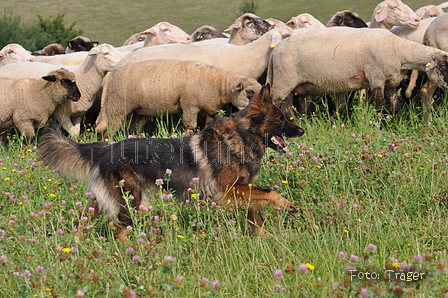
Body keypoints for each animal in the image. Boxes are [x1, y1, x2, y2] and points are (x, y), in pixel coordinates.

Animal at [37, 85, 304, 239]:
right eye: (281, 119)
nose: (302, 130)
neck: (241, 136)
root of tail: (107, 149)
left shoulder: (241, 189)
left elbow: (256, 213)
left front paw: (266, 238)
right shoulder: (227, 191)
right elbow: (270, 193)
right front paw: (289, 206)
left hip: (107, 201)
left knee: (84, 222)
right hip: (130, 200)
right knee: (119, 228)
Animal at [95, 59, 262, 136]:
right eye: (250, 92)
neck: (217, 84)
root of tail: (112, 75)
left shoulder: (209, 107)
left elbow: (217, 118)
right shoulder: (189, 105)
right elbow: (190, 126)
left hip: (140, 110)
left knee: (133, 128)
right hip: (117, 106)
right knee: (109, 128)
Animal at [266, 27, 448, 113]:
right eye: (443, 66)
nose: (447, 87)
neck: (398, 50)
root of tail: (275, 50)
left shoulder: (389, 82)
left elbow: (396, 105)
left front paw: (394, 122)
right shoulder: (376, 79)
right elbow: (380, 105)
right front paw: (382, 125)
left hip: (296, 86)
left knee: (290, 106)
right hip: (283, 81)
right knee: (275, 103)